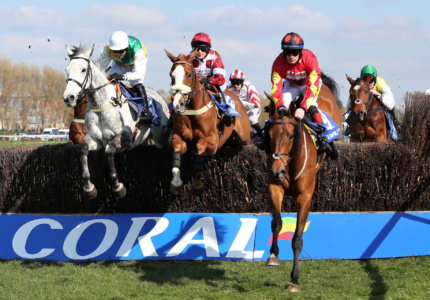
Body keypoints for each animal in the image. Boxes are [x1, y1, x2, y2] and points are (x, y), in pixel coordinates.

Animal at [62, 44, 170, 199]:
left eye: (83, 69)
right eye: (67, 69)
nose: (68, 97)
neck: (101, 103)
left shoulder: (126, 138)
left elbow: (109, 151)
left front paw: (117, 186)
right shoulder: (95, 139)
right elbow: (83, 150)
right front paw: (89, 187)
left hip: (160, 137)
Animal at [165, 49, 252, 195]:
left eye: (189, 74)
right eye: (171, 75)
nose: (178, 104)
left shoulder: (214, 142)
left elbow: (200, 147)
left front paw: (197, 184)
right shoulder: (179, 138)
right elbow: (176, 157)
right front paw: (176, 184)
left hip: (244, 137)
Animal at [266, 76, 342, 292]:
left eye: (292, 135)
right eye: (269, 133)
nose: (277, 172)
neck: (290, 163)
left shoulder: (305, 196)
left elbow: (298, 238)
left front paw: (294, 280)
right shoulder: (274, 187)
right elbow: (277, 222)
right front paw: (273, 255)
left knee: (313, 105)